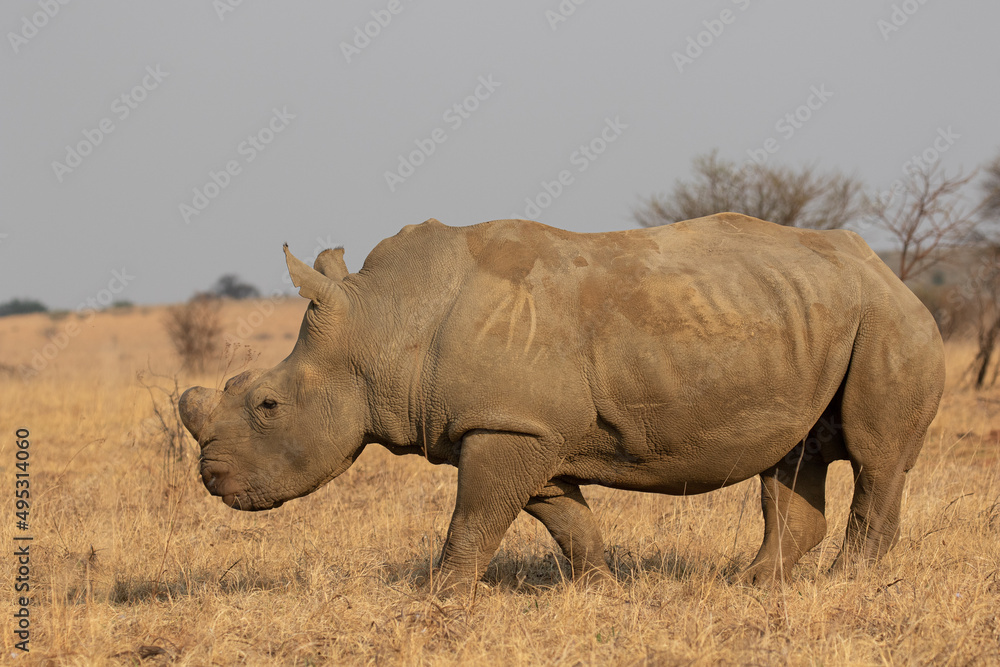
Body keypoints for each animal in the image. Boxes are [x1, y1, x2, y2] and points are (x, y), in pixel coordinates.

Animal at [179, 214, 944, 590]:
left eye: (268, 404)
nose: (211, 480)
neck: (385, 320)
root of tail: (890, 272)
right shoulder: (528, 429)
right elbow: (565, 519)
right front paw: (600, 589)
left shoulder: (505, 426)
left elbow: (475, 520)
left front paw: (436, 598)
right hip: (814, 317)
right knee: (791, 459)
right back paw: (752, 586)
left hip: (890, 324)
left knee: (876, 461)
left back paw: (844, 585)